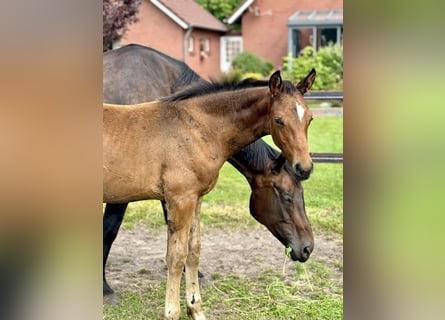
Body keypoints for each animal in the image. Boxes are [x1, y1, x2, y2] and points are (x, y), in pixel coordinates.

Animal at [102, 44, 314, 298]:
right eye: (286, 196)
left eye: (310, 119)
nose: (307, 248)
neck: (194, 125)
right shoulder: (155, 195)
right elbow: (110, 231)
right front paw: (104, 287)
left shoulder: (187, 196)